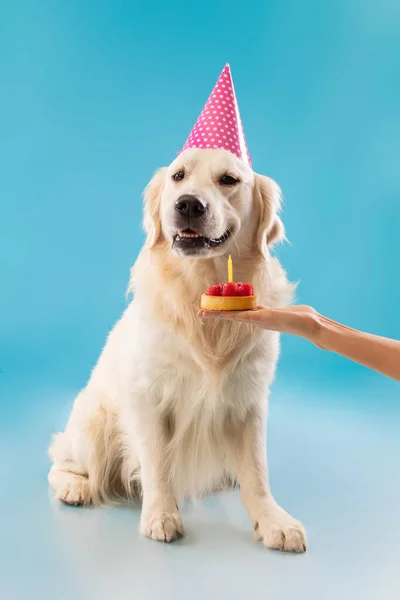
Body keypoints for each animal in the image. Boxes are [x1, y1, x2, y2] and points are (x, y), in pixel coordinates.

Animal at [48, 146, 308, 552]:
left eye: (229, 179)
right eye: (178, 176)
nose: (187, 204)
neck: (200, 288)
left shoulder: (249, 398)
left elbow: (257, 469)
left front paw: (273, 520)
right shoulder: (148, 396)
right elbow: (157, 462)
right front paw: (160, 515)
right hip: (94, 421)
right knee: (58, 461)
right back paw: (76, 486)